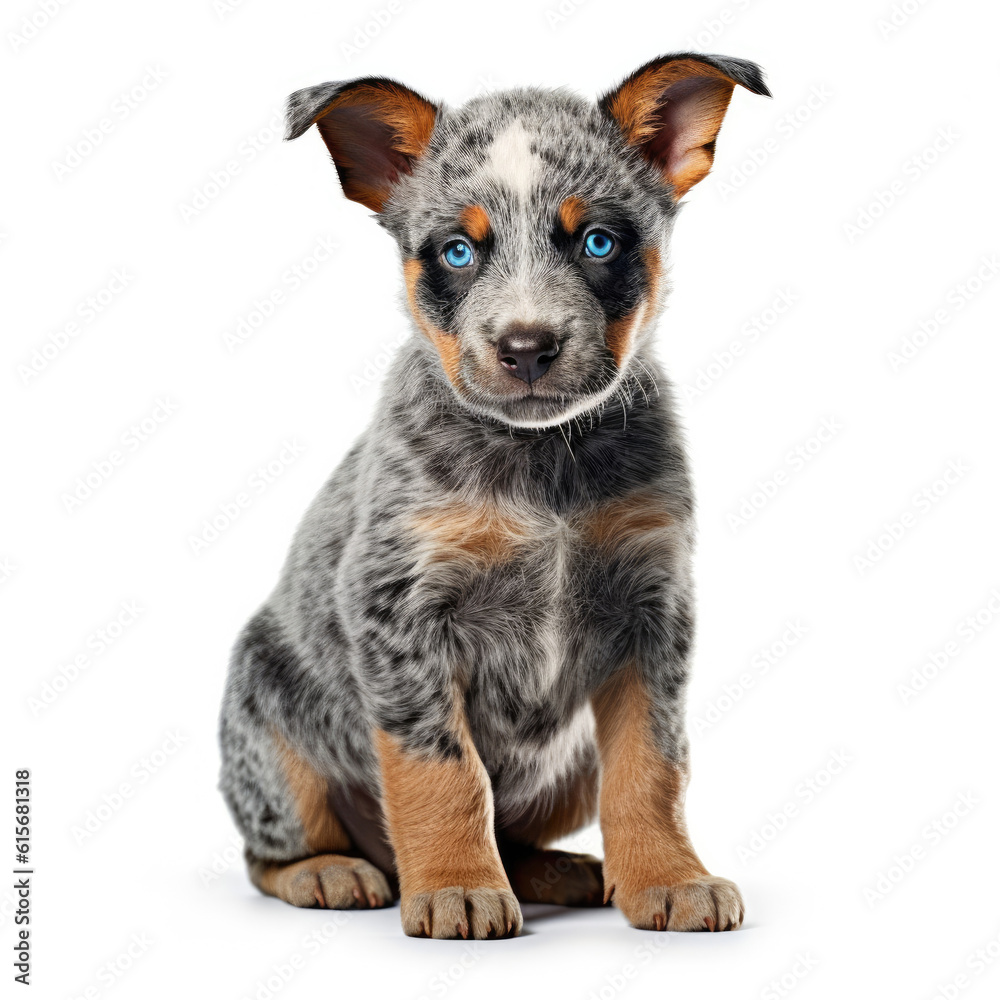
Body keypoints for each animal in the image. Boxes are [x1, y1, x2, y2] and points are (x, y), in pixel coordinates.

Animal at [219, 54, 768, 936]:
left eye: (598, 241)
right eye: (456, 253)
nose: (527, 345)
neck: (541, 462)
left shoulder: (655, 610)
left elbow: (653, 766)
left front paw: (670, 878)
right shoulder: (399, 611)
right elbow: (443, 771)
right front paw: (455, 888)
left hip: (573, 765)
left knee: (526, 830)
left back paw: (564, 870)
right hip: (272, 735)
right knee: (266, 852)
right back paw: (330, 872)